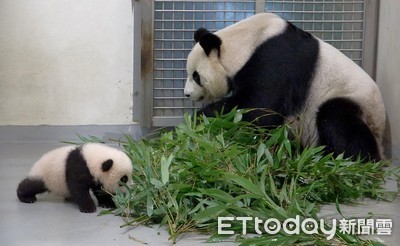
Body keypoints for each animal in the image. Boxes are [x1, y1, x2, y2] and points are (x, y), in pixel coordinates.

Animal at [184, 12, 384, 161]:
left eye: (196, 76)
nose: (186, 94)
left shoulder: (275, 60)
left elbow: (259, 109)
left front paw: (196, 120)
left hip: (354, 102)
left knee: (338, 122)